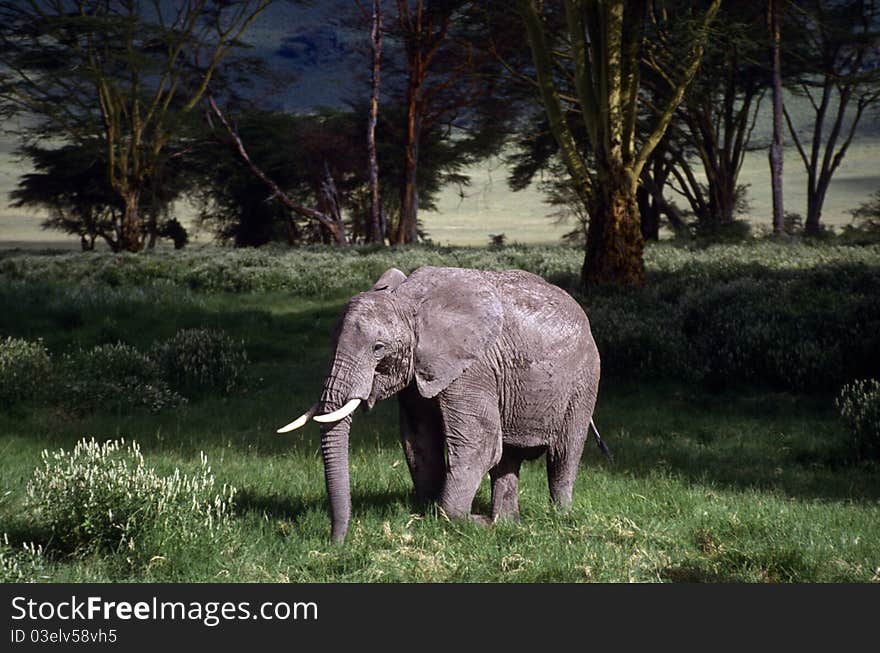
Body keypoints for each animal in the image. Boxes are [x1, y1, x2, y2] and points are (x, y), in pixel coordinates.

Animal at [278, 262, 608, 544]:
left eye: (378, 348)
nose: (336, 541)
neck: (410, 301)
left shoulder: (473, 368)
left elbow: (478, 444)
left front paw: (462, 521)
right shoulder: (419, 373)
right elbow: (420, 441)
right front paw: (427, 515)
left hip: (584, 380)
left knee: (563, 455)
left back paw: (557, 518)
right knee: (508, 458)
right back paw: (506, 523)